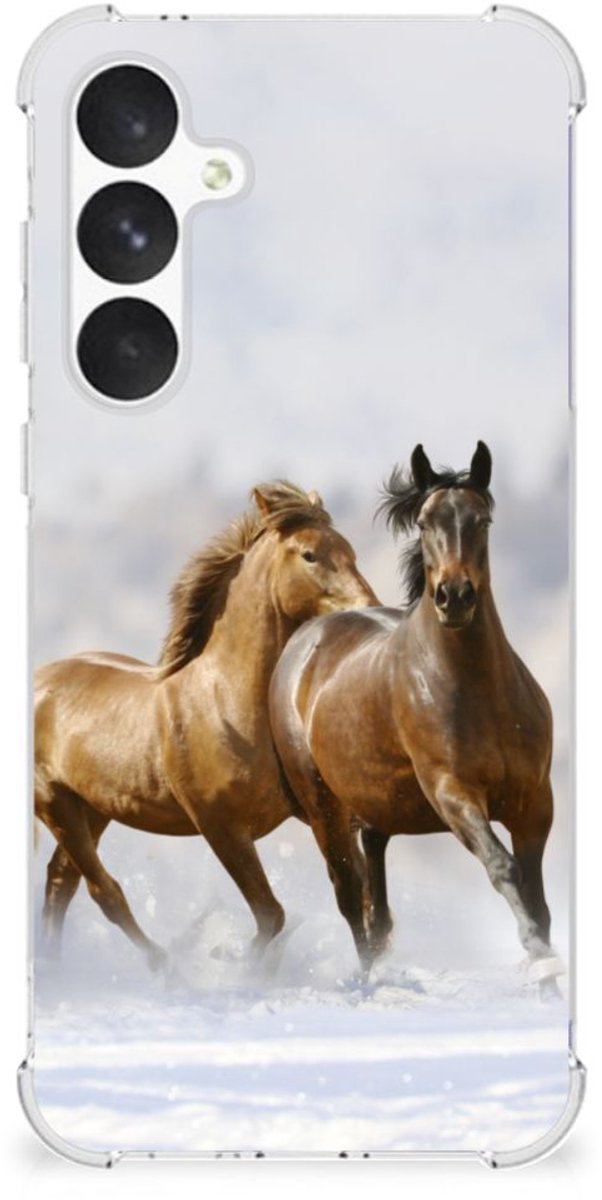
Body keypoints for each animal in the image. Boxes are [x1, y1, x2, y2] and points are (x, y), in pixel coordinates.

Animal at [35, 482, 378, 969]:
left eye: (350, 550)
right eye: (310, 554)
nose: (369, 609)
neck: (226, 703)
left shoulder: (321, 813)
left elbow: (354, 894)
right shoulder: (221, 827)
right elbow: (271, 915)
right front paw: (234, 963)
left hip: (93, 808)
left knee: (61, 882)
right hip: (55, 804)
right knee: (104, 892)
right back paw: (164, 967)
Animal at [269, 444, 563, 990]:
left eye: (482, 520)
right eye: (425, 523)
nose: (454, 596)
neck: (479, 692)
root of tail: (305, 639)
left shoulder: (534, 802)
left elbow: (537, 897)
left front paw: (549, 981)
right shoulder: (453, 794)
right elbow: (503, 868)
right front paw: (537, 958)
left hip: (376, 806)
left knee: (375, 897)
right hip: (323, 808)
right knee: (350, 897)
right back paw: (368, 983)